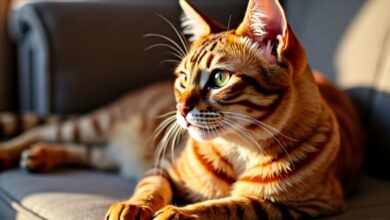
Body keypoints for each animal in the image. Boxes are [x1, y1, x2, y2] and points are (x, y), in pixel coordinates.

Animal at [0, 0, 366, 219]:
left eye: (219, 78)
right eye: (184, 77)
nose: (179, 108)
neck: (240, 148)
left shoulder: (299, 206)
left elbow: (231, 206)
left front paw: (180, 212)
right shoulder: (163, 168)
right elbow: (149, 189)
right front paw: (133, 206)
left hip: (114, 150)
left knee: (87, 151)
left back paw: (40, 156)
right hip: (98, 124)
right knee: (47, 129)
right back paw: (15, 153)